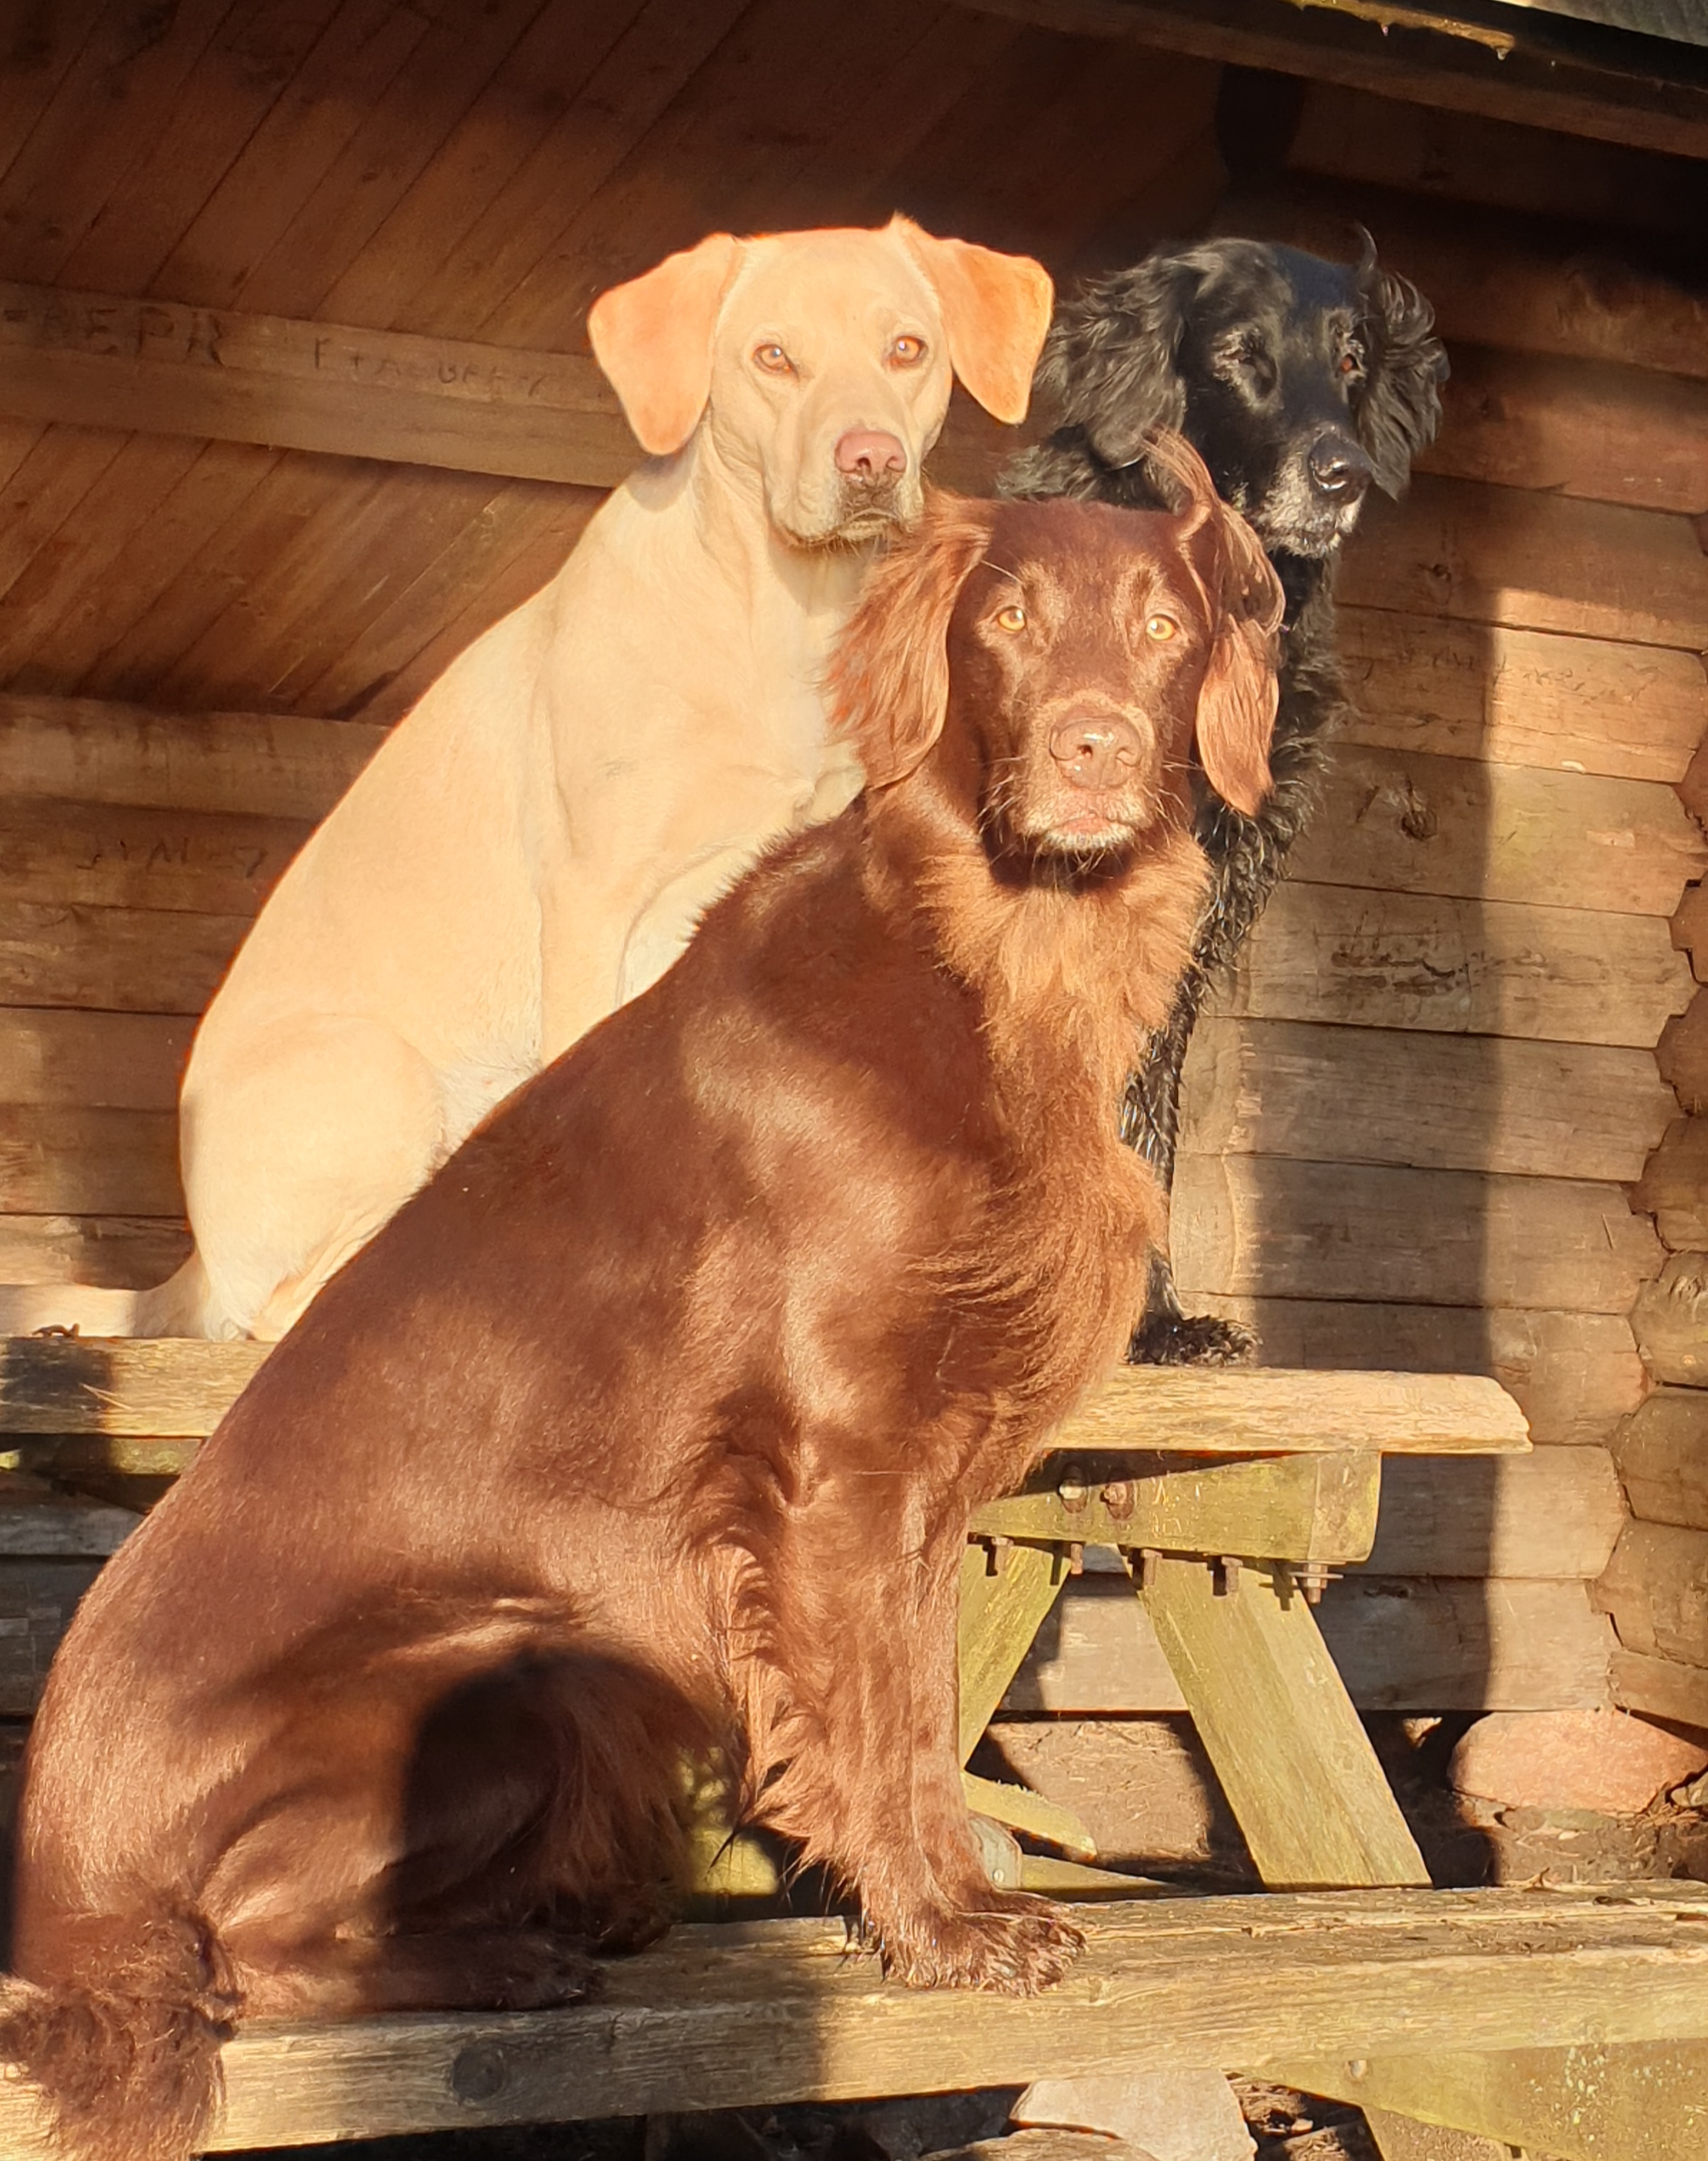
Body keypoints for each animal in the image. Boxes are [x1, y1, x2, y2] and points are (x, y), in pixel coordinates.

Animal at [0, 218, 1051, 1343]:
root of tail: (191, 1263)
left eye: (907, 349)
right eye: (773, 357)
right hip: (380, 1075)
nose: (871, 459)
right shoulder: (595, 901)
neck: (785, 614)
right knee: (280, 1308)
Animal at [3, 446, 1281, 2161]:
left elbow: (924, 1708)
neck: (991, 960)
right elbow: (885, 1718)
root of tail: (64, 1891)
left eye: (1161, 624)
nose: (1096, 750)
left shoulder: (925, 1482)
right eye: (1009, 618)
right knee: (244, 1959)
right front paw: (941, 1929)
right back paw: (507, 1960)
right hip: (518, 1665)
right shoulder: (842, 1463)